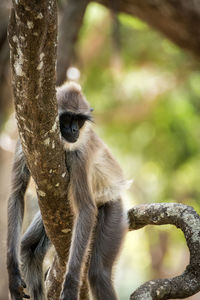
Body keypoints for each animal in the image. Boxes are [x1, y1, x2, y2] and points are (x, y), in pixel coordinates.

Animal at [6, 82, 130, 300]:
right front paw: (13, 275)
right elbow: (16, 195)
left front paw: (71, 285)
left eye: (78, 121)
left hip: (113, 209)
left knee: (99, 273)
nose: (73, 130)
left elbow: (87, 209)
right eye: (67, 119)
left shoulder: (78, 156)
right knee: (28, 248)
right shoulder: (23, 141)